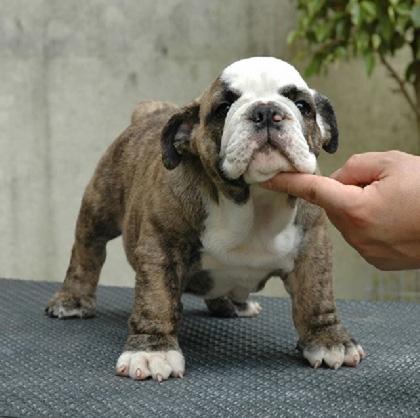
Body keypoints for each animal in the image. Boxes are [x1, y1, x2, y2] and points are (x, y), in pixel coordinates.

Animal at [46, 56, 364, 382]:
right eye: (223, 108)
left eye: (302, 105)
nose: (265, 111)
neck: (253, 200)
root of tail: (150, 112)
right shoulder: (162, 245)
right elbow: (156, 299)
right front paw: (152, 351)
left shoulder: (312, 244)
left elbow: (317, 295)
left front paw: (328, 341)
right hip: (100, 207)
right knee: (87, 251)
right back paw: (73, 300)